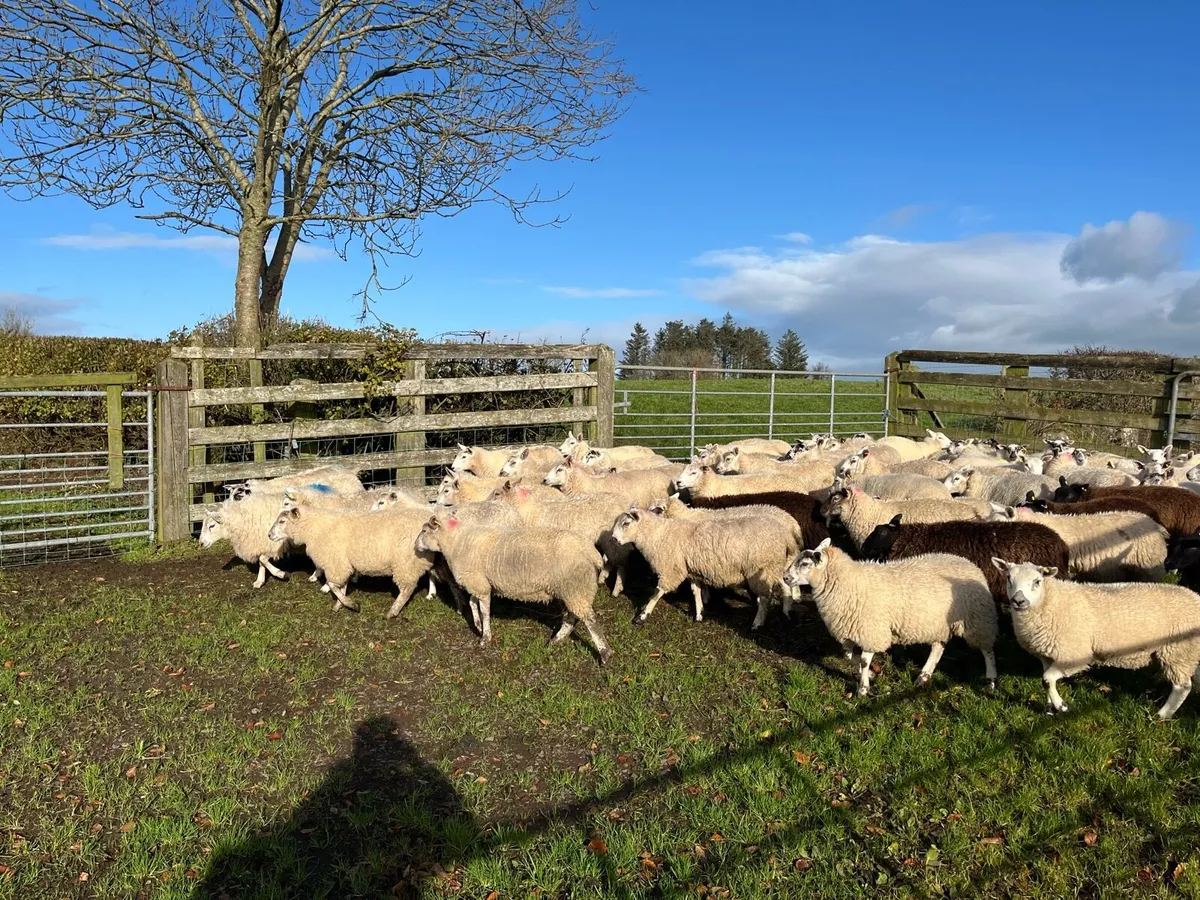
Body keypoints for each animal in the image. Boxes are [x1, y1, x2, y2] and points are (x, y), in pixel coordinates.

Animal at [267, 504, 435, 615]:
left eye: (282, 521)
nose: (269, 535)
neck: (315, 528)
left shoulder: (335, 563)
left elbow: (333, 586)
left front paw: (351, 604)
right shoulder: (342, 562)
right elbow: (341, 586)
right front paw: (339, 605)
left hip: (405, 563)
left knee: (407, 589)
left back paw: (393, 611)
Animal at [415, 515, 613, 664]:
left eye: (424, 531)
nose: (415, 546)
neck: (456, 542)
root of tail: (593, 553)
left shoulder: (480, 585)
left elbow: (484, 611)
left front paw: (485, 637)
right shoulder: (479, 583)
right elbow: (472, 603)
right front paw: (477, 625)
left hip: (575, 586)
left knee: (590, 620)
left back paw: (605, 654)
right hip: (571, 589)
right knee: (573, 617)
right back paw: (556, 640)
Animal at [611, 507, 796, 628]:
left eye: (626, 523)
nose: (613, 539)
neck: (658, 535)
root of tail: (784, 533)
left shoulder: (672, 569)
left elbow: (657, 593)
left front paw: (642, 616)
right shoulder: (692, 571)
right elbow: (696, 591)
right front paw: (699, 614)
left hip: (762, 569)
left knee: (765, 597)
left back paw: (757, 623)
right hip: (774, 567)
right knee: (783, 586)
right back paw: (786, 610)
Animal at [782, 539, 998, 695]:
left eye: (805, 563)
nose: (785, 577)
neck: (848, 581)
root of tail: (969, 563)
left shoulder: (872, 630)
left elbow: (863, 659)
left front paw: (863, 689)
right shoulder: (850, 630)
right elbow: (849, 656)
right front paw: (869, 674)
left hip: (978, 618)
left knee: (987, 650)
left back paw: (991, 681)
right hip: (938, 624)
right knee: (938, 647)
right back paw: (924, 676)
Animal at [990, 559, 1200, 719]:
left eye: (1037, 581)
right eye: (1008, 578)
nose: (1018, 601)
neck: (1051, 602)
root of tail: (1196, 597)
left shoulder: (1074, 655)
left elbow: (1047, 679)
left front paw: (1062, 706)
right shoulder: (1047, 655)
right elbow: (1046, 681)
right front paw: (1049, 709)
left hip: (1178, 650)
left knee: (1182, 686)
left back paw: (1161, 715)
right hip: (1190, 651)